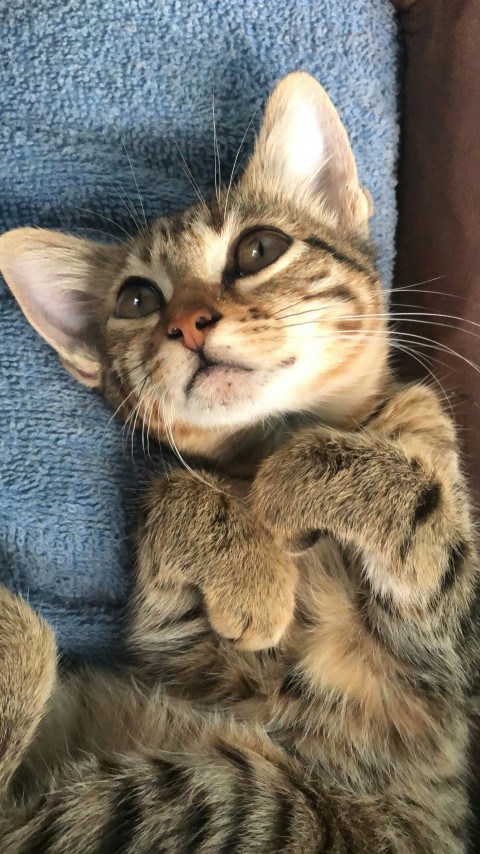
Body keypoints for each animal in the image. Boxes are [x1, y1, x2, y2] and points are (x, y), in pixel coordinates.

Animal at [0, 73, 476, 854]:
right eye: (138, 298)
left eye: (259, 249)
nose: (187, 324)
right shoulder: (174, 639)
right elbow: (174, 486)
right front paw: (252, 569)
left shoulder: (454, 657)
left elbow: (423, 508)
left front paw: (294, 477)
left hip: (265, 806)